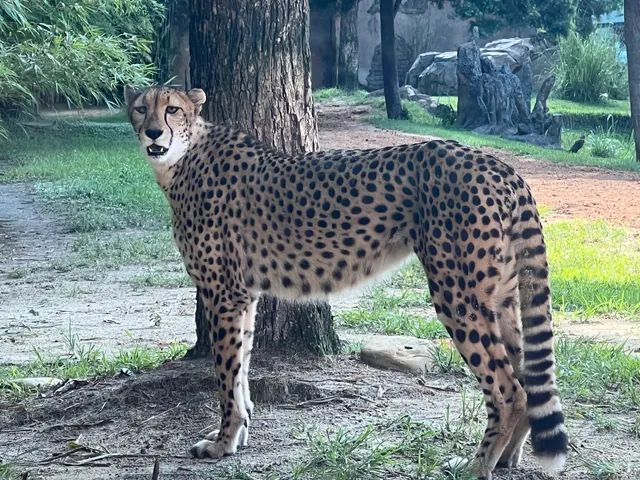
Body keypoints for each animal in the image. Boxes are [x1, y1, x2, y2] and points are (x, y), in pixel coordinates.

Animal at [124, 84, 568, 480]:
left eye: (173, 109)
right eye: (141, 108)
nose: (154, 133)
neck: (184, 158)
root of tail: (496, 163)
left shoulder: (224, 294)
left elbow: (226, 375)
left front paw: (222, 442)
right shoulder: (244, 297)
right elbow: (243, 368)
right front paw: (240, 433)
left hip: (458, 294)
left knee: (509, 388)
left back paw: (476, 465)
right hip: (500, 296)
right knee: (527, 379)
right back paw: (507, 458)